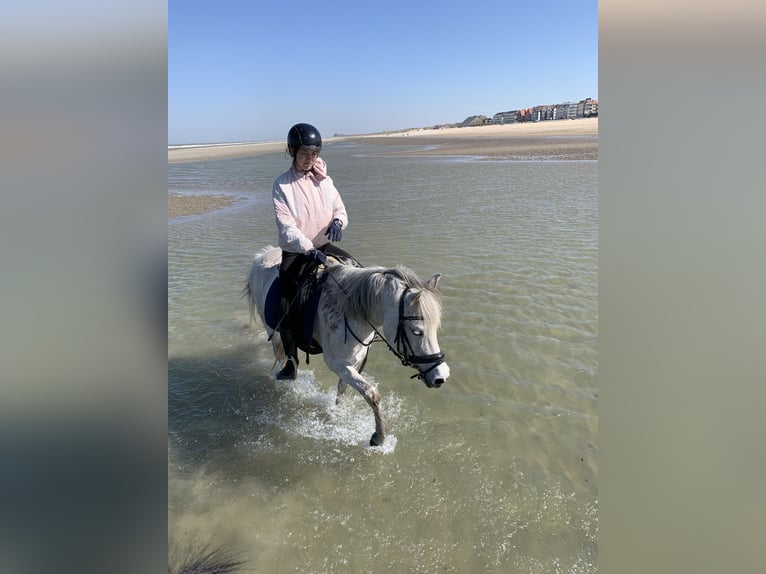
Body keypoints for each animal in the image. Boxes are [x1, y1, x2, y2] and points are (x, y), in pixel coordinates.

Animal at [244, 246, 450, 446]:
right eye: (417, 331)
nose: (441, 377)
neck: (351, 310)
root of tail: (262, 255)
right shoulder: (337, 363)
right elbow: (371, 393)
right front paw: (379, 436)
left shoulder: (353, 361)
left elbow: (343, 388)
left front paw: (337, 413)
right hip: (273, 329)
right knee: (282, 355)